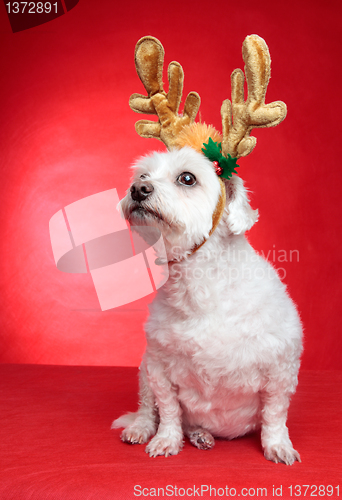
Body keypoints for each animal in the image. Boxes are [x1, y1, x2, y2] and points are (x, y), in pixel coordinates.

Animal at [113, 146, 304, 464]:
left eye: (187, 178)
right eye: (142, 175)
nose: (138, 189)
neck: (200, 286)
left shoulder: (280, 368)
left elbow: (275, 415)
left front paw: (277, 445)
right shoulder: (158, 367)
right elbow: (168, 410)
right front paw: (167, 440)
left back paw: (200, 435)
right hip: (143, 373)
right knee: (148, 409)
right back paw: (146, 429)